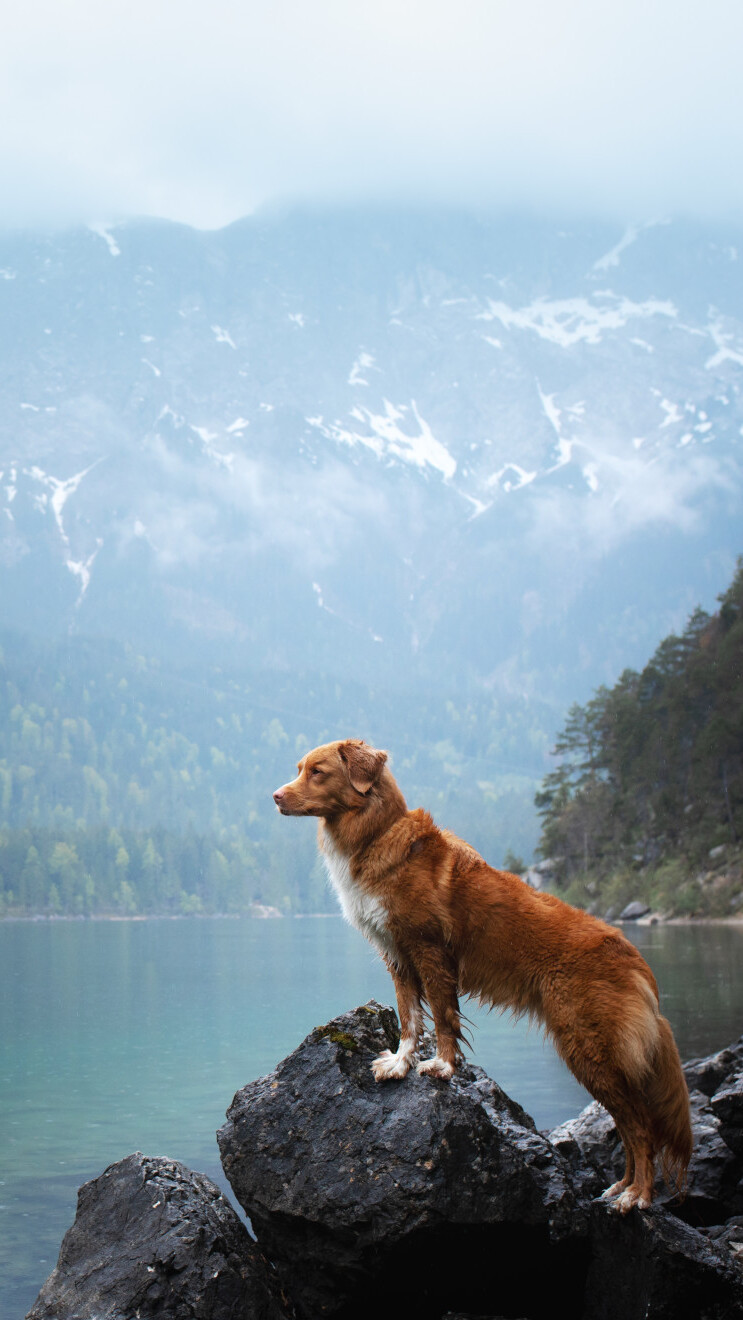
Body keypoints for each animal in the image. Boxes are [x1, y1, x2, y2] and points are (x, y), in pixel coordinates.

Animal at [273, 739, 691, 1209]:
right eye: (300, 769)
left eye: (318, 772)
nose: (275, 796)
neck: (376, 835)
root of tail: (636, 960)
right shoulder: (397, 957)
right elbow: (409, 1018)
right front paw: (400, 1063)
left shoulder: (429, 951)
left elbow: (441, 1017)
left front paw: (442, 1066)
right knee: (627, 1125)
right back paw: (621, 1186)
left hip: (589, 1049)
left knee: (641, 1128)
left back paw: (637, 1195)